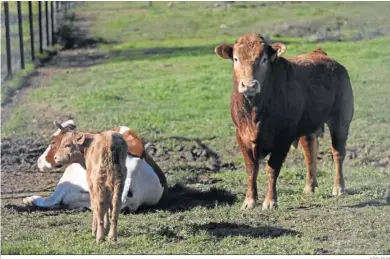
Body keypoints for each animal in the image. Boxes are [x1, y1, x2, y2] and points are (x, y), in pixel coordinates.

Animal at [215, 33, 354, 211]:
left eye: (264, 59)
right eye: (236, 58)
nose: (249, 85)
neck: (255, 112)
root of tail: (322, 55)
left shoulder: (283, 138)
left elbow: (272, 168)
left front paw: (270, 201)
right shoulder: (241, 136)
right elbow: (251, 169)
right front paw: (249, 201)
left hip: (340, 120)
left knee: (338, 153)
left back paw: (338, 187)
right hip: (307, 126)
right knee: (310, 153)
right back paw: (309, 187)